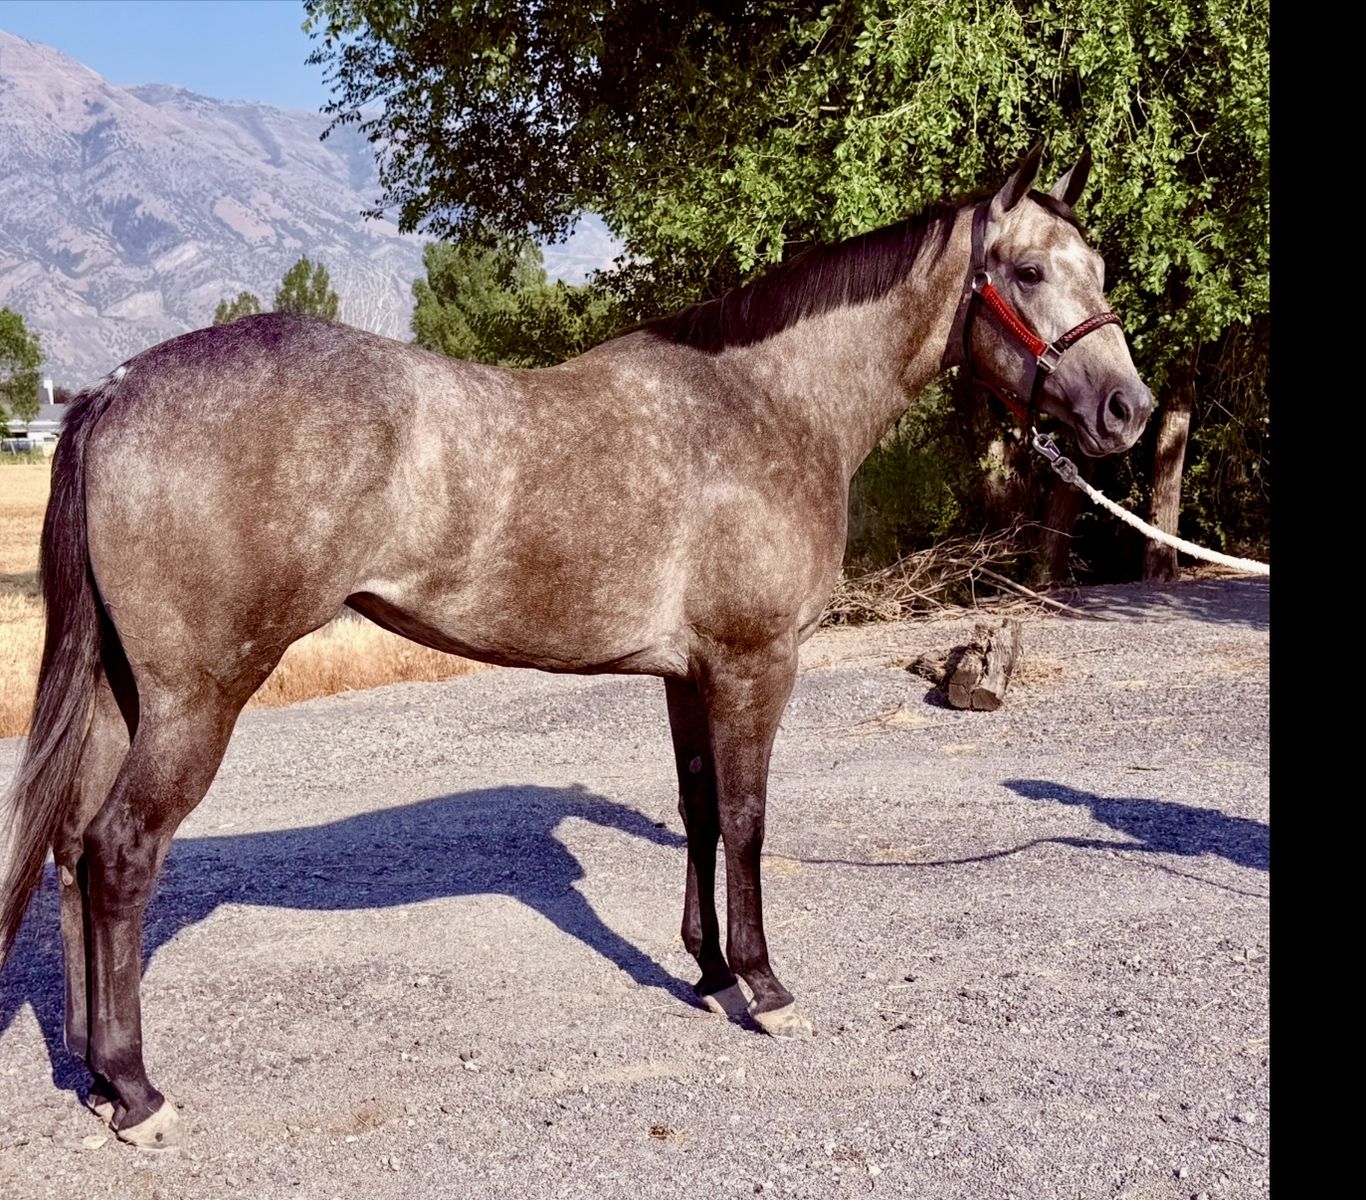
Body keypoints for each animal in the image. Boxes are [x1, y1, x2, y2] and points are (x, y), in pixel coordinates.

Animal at [0, 146, 1152, 1147]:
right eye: (1030, 270)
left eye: (1100, 268)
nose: (1126, 411)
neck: (769, 406)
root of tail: (113, 388)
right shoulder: (753, 665)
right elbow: (747, 819)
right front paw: (765, 988)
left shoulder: (689, 674)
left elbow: (698, 811)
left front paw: (708, 973)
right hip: (197, 698)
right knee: (121, 852)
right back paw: (139, 1094)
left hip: (123, 695)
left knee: (72, 849)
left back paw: (93, 1076)